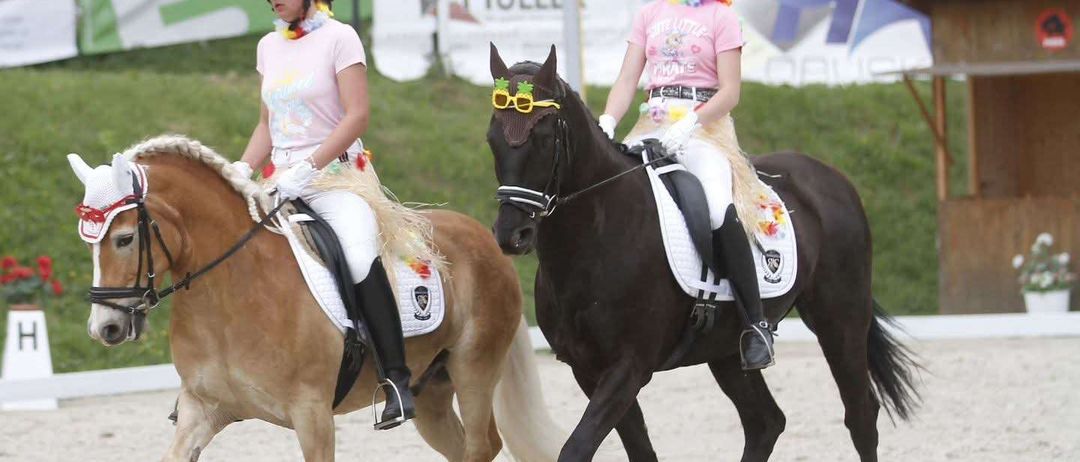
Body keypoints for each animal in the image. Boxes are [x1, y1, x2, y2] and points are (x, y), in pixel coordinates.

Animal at [67, 136, 565, 462]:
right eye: (88, 243)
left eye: (125, 239)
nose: (104, 327)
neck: (230, 296)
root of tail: (483, 237)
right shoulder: (201, 409)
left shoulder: (313, 417)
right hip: (433, 391)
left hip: (474, 370)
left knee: (482, 445)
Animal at [485, 46, 919, 462]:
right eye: (492, 138)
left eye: (543, 137)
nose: (512, 235)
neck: (594, 240)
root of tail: (829, 176)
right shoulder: (587, 370)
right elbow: (639, 450)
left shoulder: (628, 367)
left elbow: (576, 449)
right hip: (726, 348)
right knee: (766, 422)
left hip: (839, 319)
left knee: (860, 415)